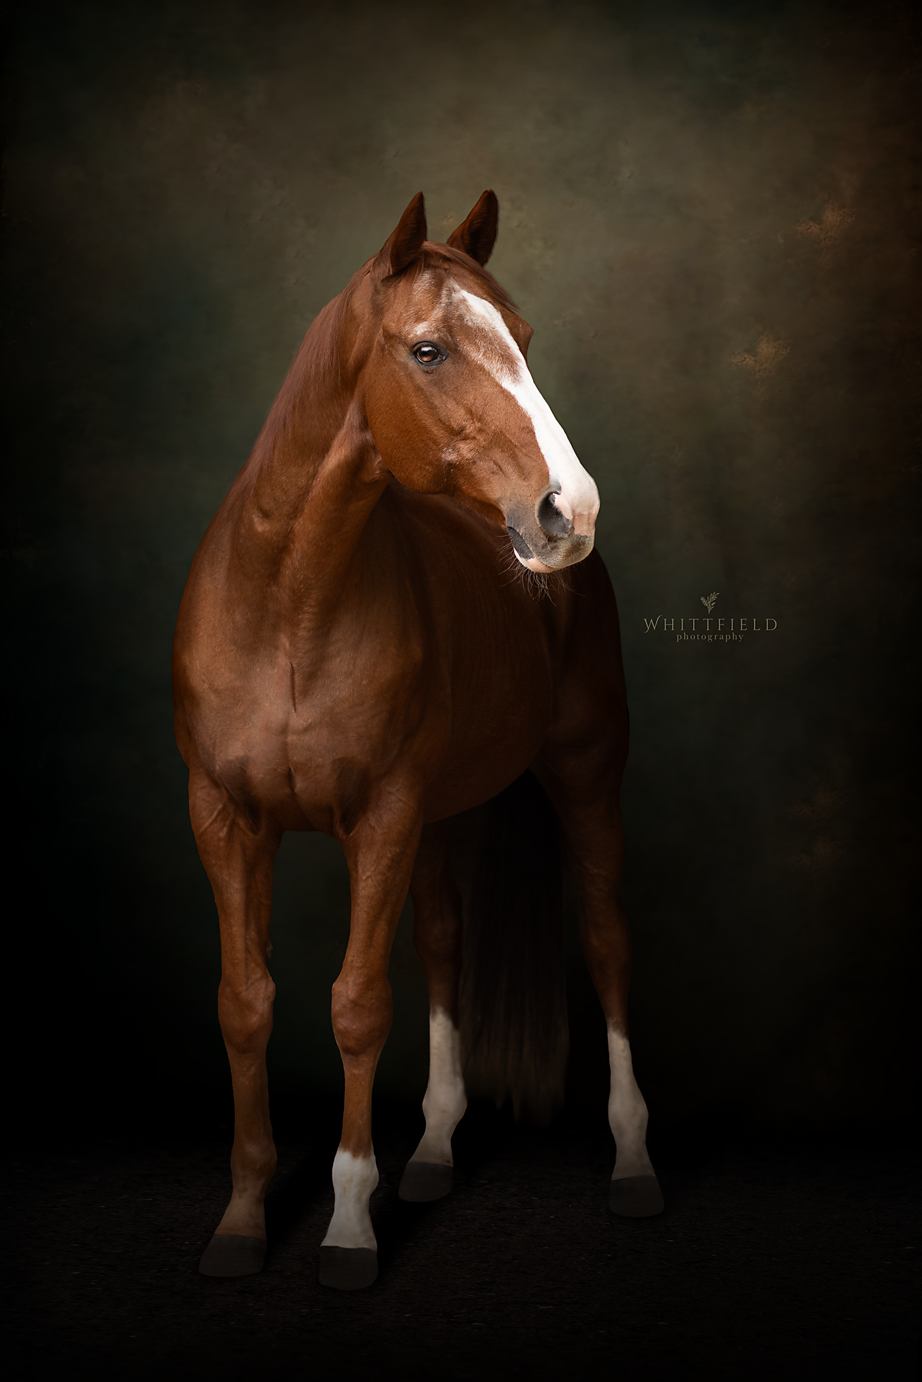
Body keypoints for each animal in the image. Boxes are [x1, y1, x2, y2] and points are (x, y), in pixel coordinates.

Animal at [172, 189, 663, 1292]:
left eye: (523, 339)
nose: (569, 511)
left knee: (606, 940)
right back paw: (436, 1147)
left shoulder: (382, 816)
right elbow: (244, 1003)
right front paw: (241, 1217)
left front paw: (350, 1221)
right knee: (444, 941)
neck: (288, 603)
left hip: (584, 779)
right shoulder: (225, 816)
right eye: (429, 349)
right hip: (440, 818)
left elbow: (356, 1005)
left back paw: (631, 1159)